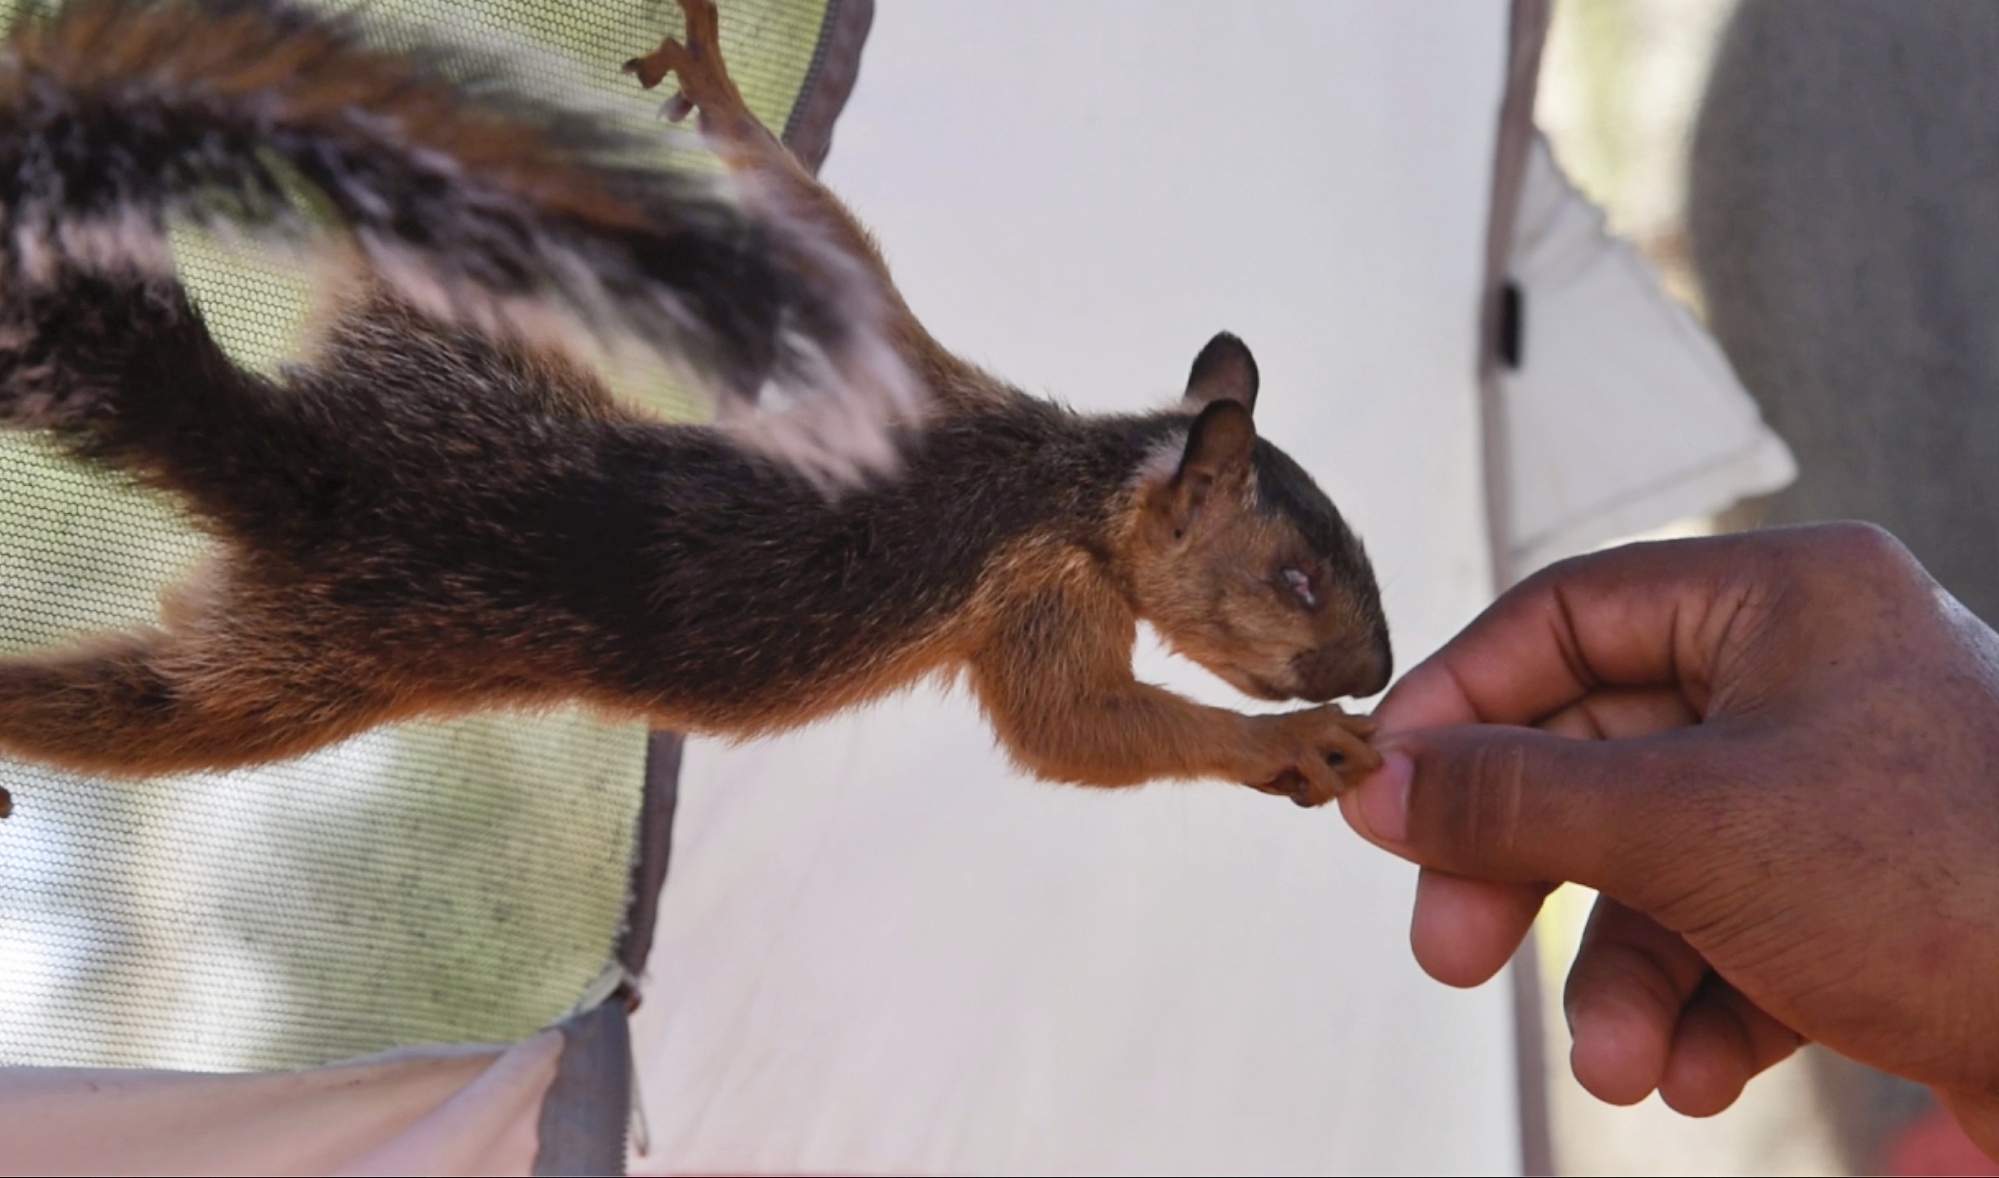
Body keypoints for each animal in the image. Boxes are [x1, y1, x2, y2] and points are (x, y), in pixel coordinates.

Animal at [0, 0, 1399, 812]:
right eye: (1296, 580)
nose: (1379, 672)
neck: (1054, 474)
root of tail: (310, 463)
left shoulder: (920, 379)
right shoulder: (1040, 586)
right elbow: (1079, 732)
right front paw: (1291, 744)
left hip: (382, 446)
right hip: (317, 656)